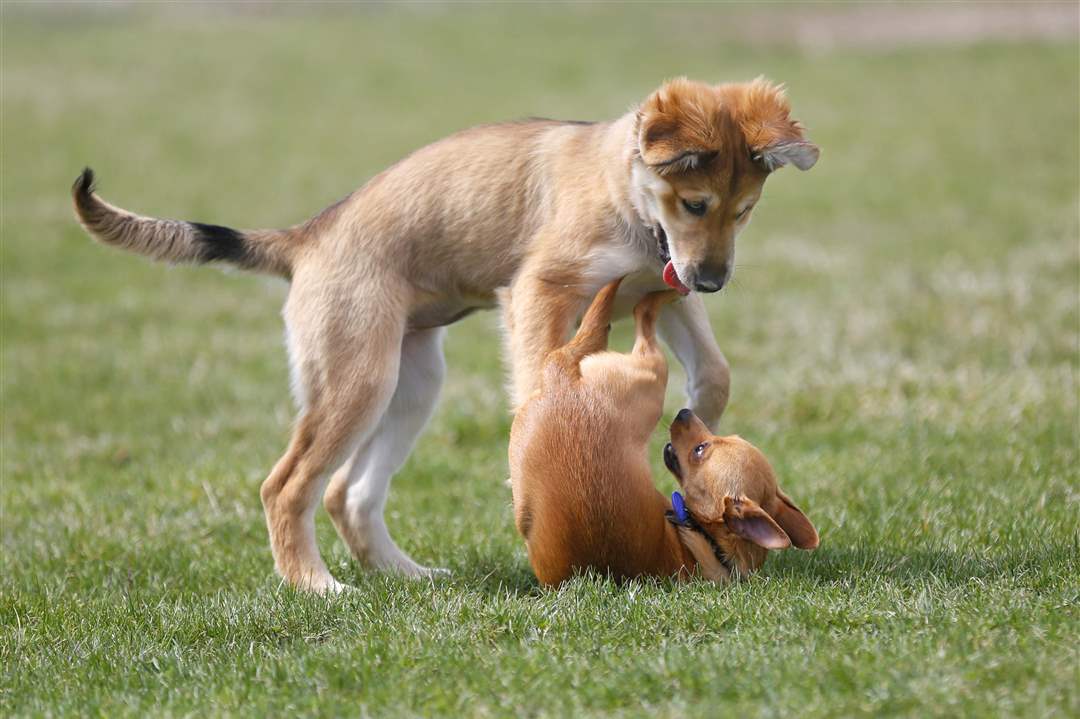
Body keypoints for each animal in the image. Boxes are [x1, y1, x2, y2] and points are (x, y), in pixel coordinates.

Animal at [509, 276, 812, 587]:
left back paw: (661, 293)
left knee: (640, 316)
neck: (708, 542)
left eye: (700, 450)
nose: (684, 412)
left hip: (652, 373)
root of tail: (562, 379)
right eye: (725, 437)